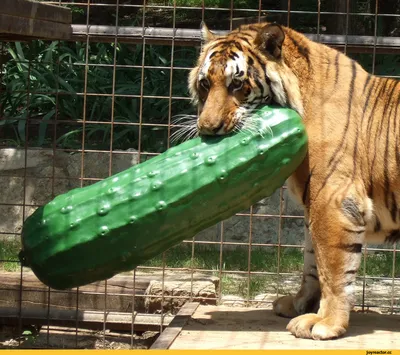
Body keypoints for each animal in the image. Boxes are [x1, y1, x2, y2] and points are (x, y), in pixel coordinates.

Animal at [188, 23, 400, 342]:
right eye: (204, 84)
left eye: (236, 84)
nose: (208, 128)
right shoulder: (314, 204)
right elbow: (312, 263)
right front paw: (300, 304)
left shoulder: (333, 201)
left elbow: (333, 269)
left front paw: (327, 323)